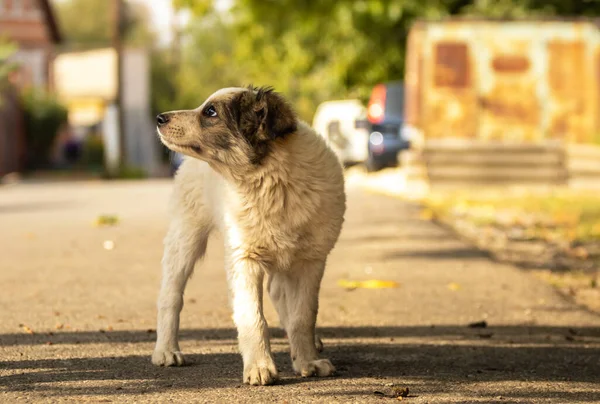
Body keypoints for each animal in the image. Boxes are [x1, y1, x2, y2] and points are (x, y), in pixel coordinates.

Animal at [152, 86, 344, 386]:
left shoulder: (310, 262)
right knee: (170, 295)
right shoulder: (243, 258)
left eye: (211, 112)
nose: (160, 118)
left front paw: (307, 361)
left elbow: (303, 316)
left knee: (278, 292)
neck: (268, 181)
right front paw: (260, 367)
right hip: (185, 235)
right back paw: (166, 351)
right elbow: (252, 317)